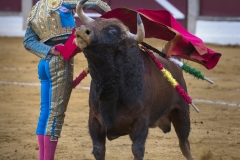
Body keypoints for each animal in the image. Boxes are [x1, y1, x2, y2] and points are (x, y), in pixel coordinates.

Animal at [74, 0, 194, 159]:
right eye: (95, 22)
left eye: (113, 32)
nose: (82, 30)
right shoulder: (94, 120)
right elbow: (98, 149)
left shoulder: (141, 122)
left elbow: (137, 149)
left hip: (182, 112)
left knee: (184, 144)